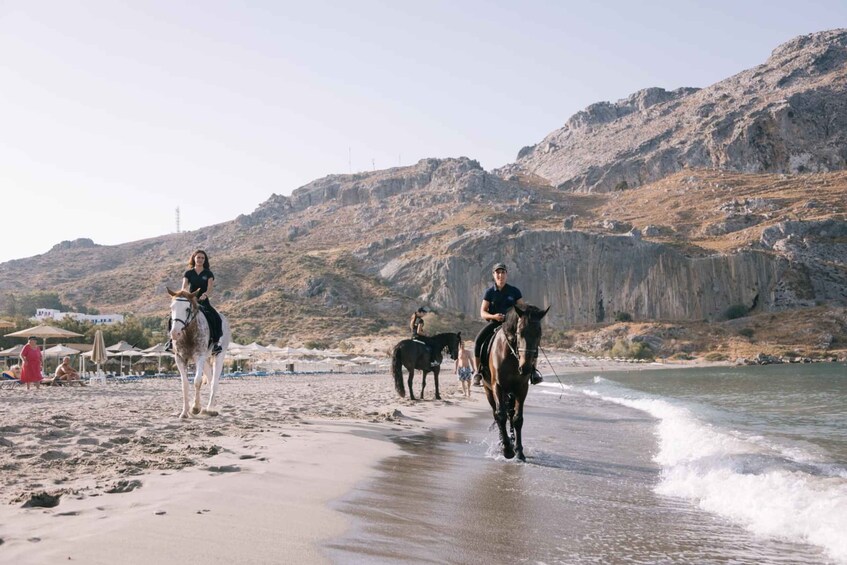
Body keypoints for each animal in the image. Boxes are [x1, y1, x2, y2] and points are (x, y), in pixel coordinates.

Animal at [166, 288, 230, 416]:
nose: (175, 333)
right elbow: (185, 385)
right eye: (172, 308)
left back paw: (210, 408)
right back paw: (210, 407)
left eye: (187, 309)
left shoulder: (199, 356)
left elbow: (197, 381)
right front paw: (185, 412)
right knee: (210, 380)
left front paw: (195, 408)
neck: (188, 334)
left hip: (218, 356)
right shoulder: (180, 358)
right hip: (205, 360)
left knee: (214, 381)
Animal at [484, 304, 548, 458]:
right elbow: (500, 416)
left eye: (539, 334)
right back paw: (503, 442)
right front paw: (507, 450)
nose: (525, 368)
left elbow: (518, 419)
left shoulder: (521, 388)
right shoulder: (497, 386)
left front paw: (518, 451)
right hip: (488, 390)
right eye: (519, 332)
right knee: (497, 413)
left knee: (510, 413)